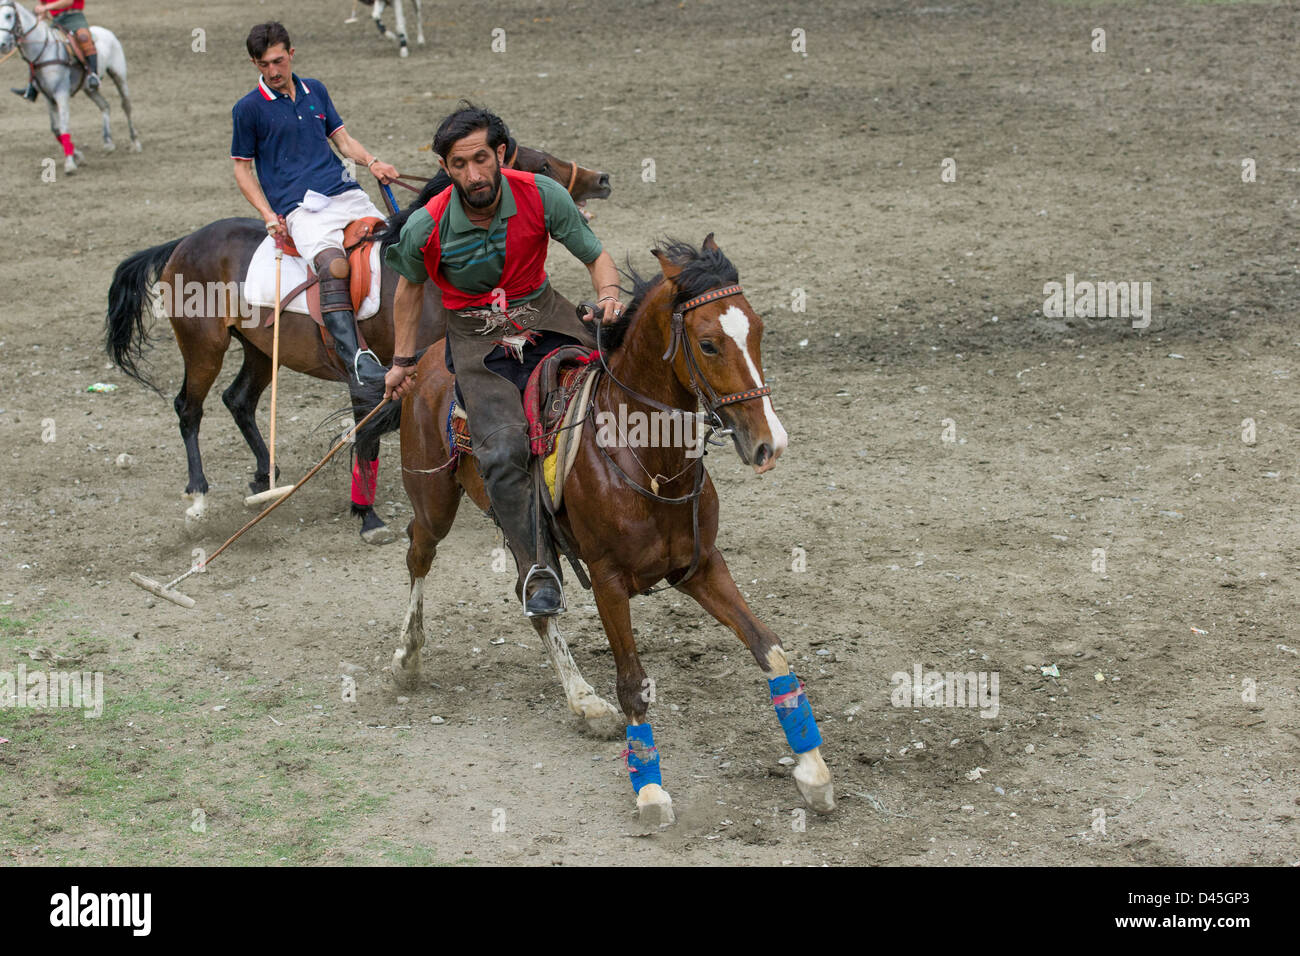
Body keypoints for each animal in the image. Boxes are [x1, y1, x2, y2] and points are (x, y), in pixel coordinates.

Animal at [0, 0, 141, 175]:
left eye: (8, 15)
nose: (2, 45)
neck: (43, 51)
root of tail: (106, 31)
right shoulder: (48, 97)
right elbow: (56, 129)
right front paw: (78, 156)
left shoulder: (61, 93)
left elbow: (64, 126)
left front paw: (70, 164)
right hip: (89, 88)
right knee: (105, 105)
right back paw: (108, 141)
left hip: (119, 75)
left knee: (126, 105)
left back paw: (135, 142)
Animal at [105, 143, 608, 546]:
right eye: (542, 163)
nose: (601, 178)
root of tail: (183, 242)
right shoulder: (371, 378)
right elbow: (367, 433)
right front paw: (368, 517)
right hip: (203, 345)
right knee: (188, 407)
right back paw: (198, 494)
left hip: (260, 348)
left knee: (239, 399)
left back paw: (265, 475)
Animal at [358, 235, 832, 827]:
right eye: (708, 344)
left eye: (759, 330)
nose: (770, 444)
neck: (645, 457)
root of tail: (420, 364)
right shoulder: (609, 581)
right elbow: (632, 684)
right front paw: (650, 791)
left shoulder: (701, 566)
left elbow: (769, 648)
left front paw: (813, 771)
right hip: (434, 503)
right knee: (419, 557)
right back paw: (408, 658)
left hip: (525, 534)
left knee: (533, 599)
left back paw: (584, 703)